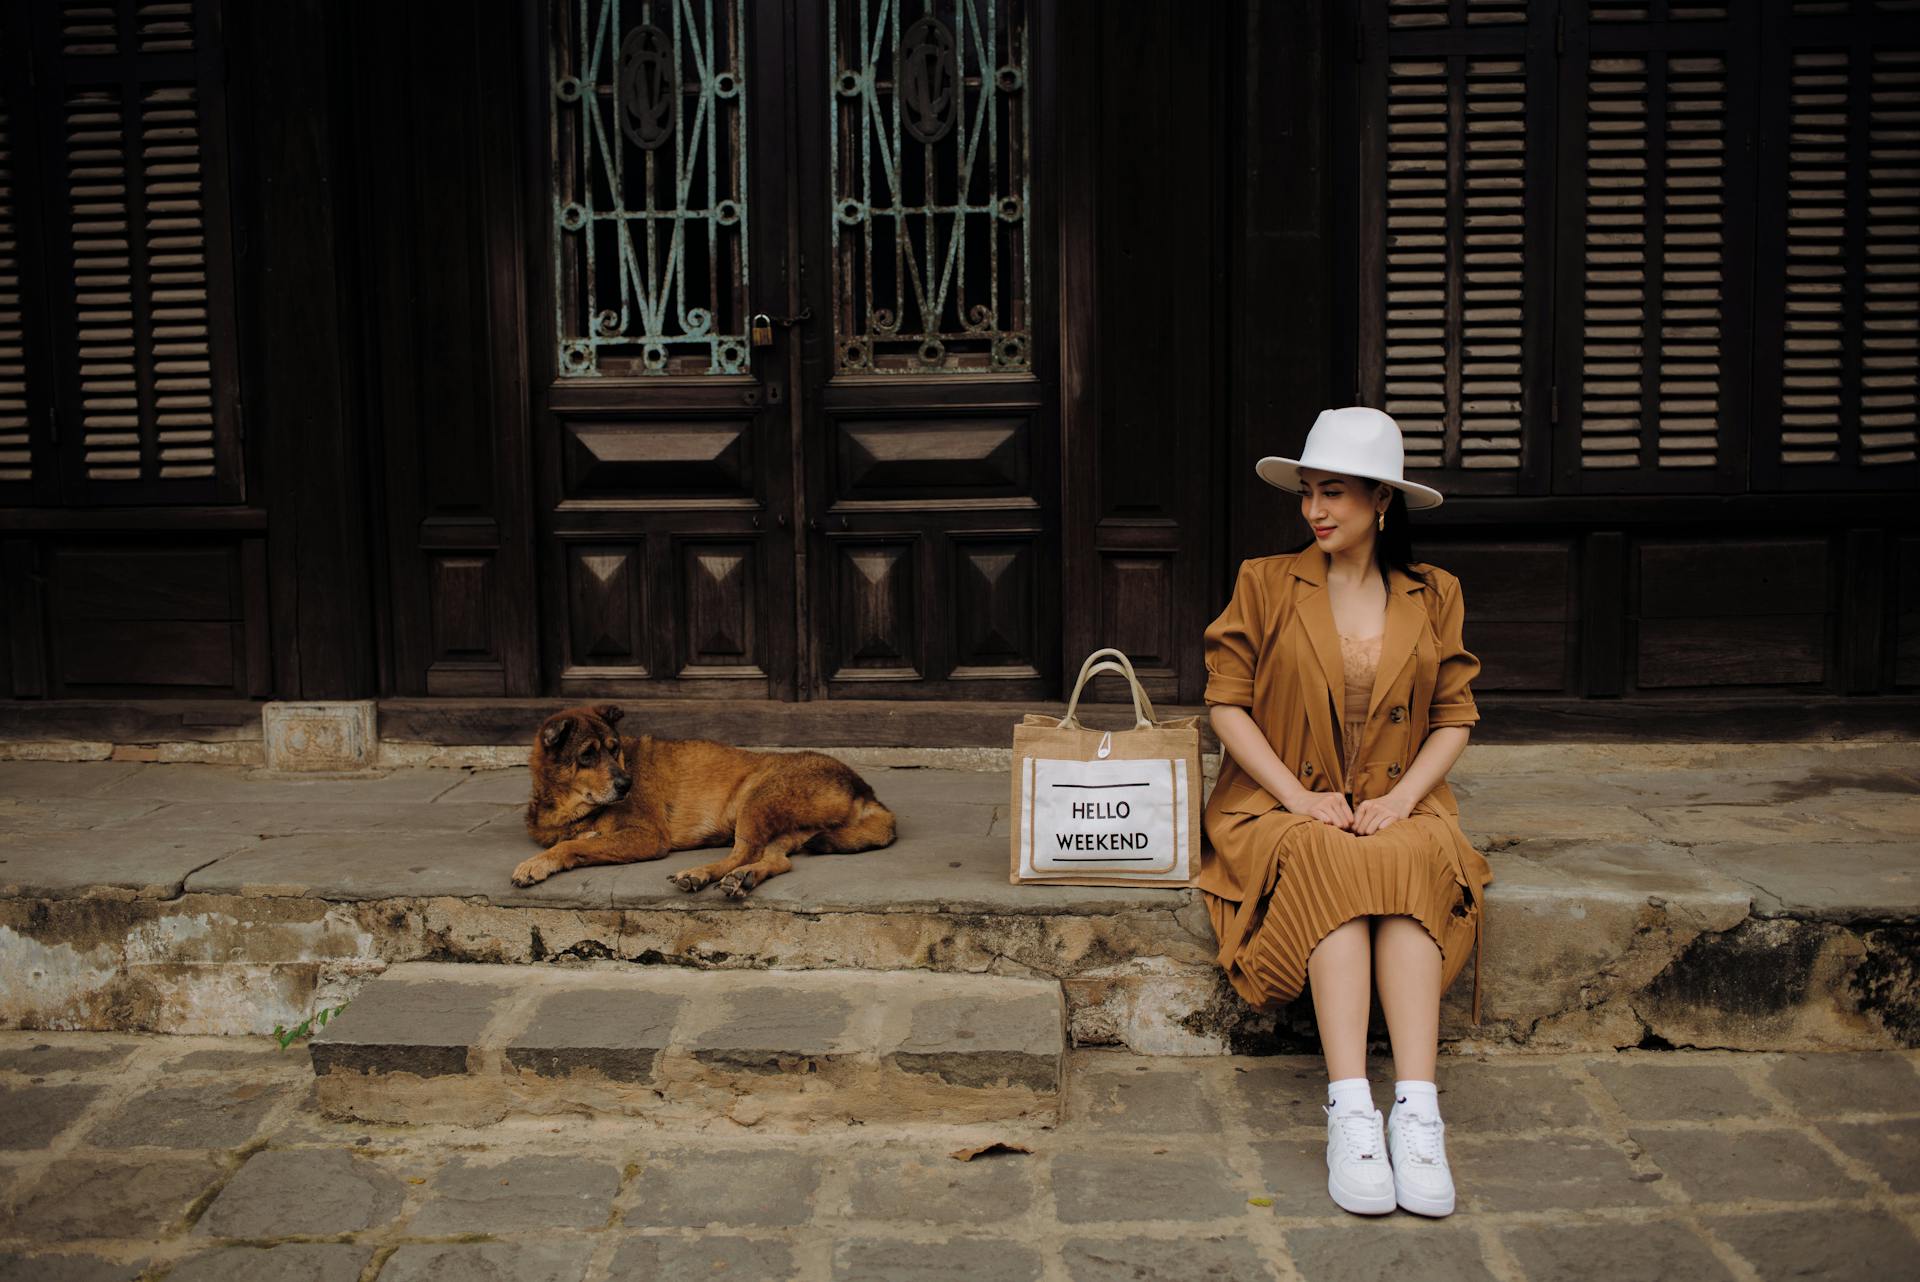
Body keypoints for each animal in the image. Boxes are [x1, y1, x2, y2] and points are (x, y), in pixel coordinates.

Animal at [510, 706, 898, 898]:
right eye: (587, 755)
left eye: (614, 748)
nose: (626, 784)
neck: (565, 805)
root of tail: (864, 789)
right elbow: (577, 840)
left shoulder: (647, 836)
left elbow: (570, 846)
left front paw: (535, 864)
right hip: (789, 827)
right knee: (776, 860)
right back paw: (743, 879)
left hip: (756, 800)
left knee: (743, 852)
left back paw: (701, 873)